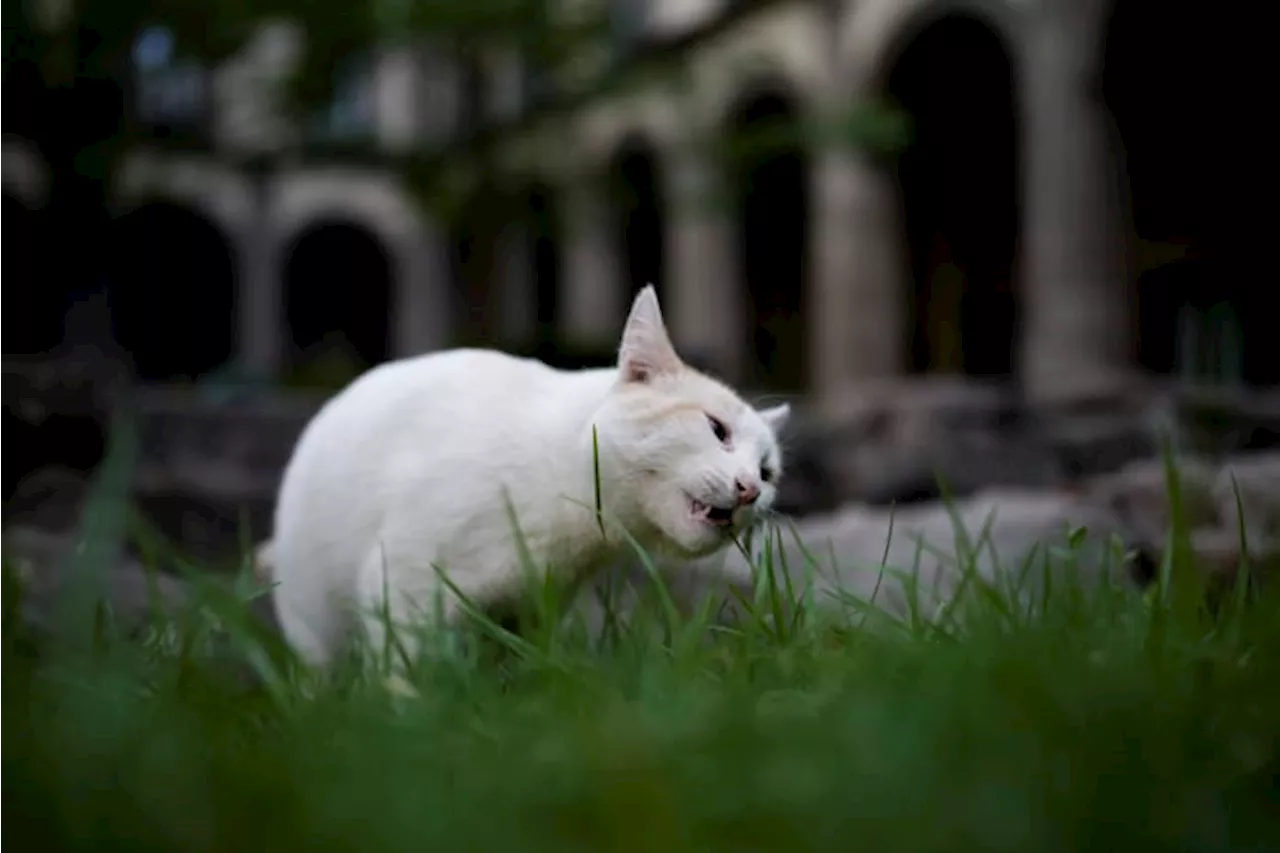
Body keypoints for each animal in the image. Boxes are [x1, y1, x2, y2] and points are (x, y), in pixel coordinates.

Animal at [264, 285, 788, 666]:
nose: (749, 490)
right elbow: (407, 671)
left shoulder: (527, 613)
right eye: (717, 430)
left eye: (767, 472)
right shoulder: (403, 582)